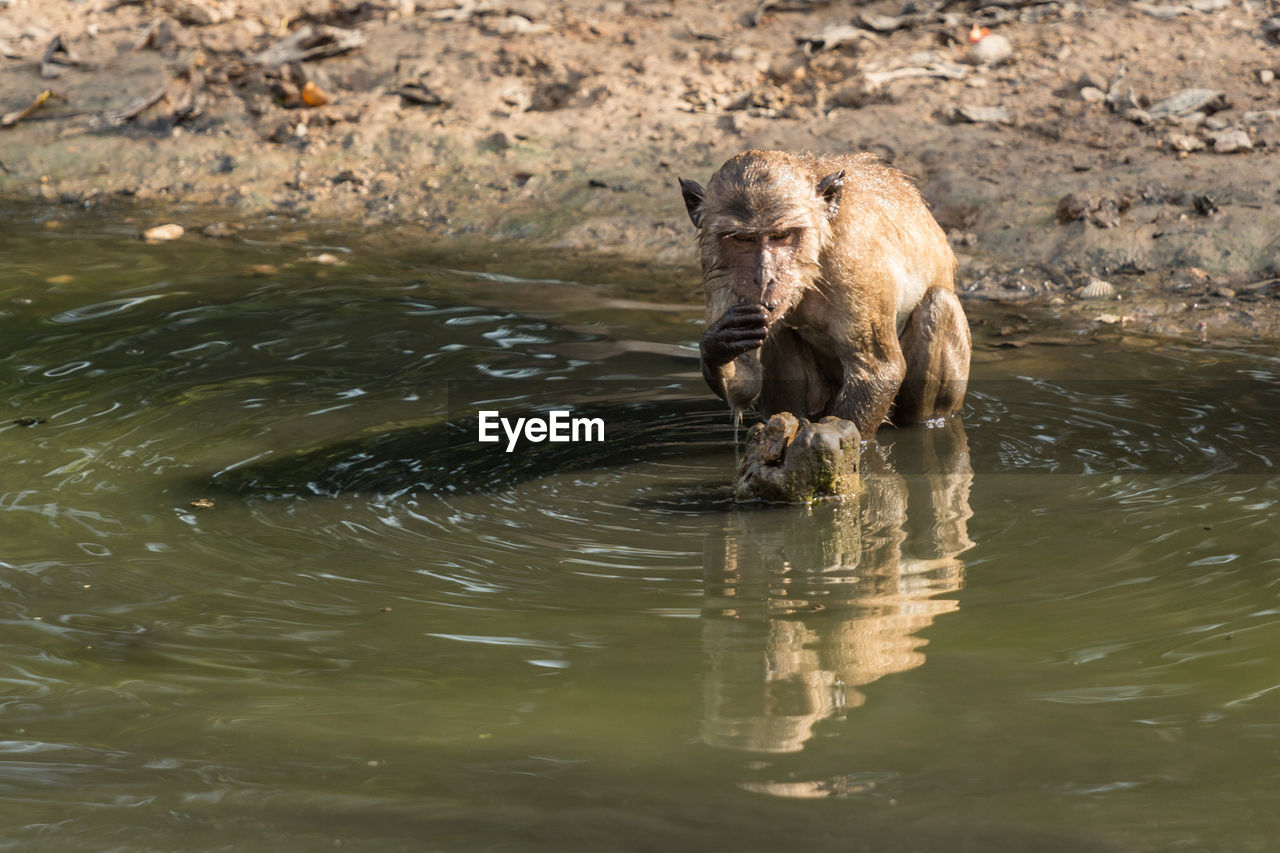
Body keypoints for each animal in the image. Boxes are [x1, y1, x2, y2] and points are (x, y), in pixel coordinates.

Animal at [680, 148, 967, 435]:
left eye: (781, 235)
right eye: (742, 239)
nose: (763, 277)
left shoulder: (854, 261)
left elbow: (878, 370)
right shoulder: (718, 272)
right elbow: (746, 382)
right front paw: (719, 343)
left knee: (939, 303)